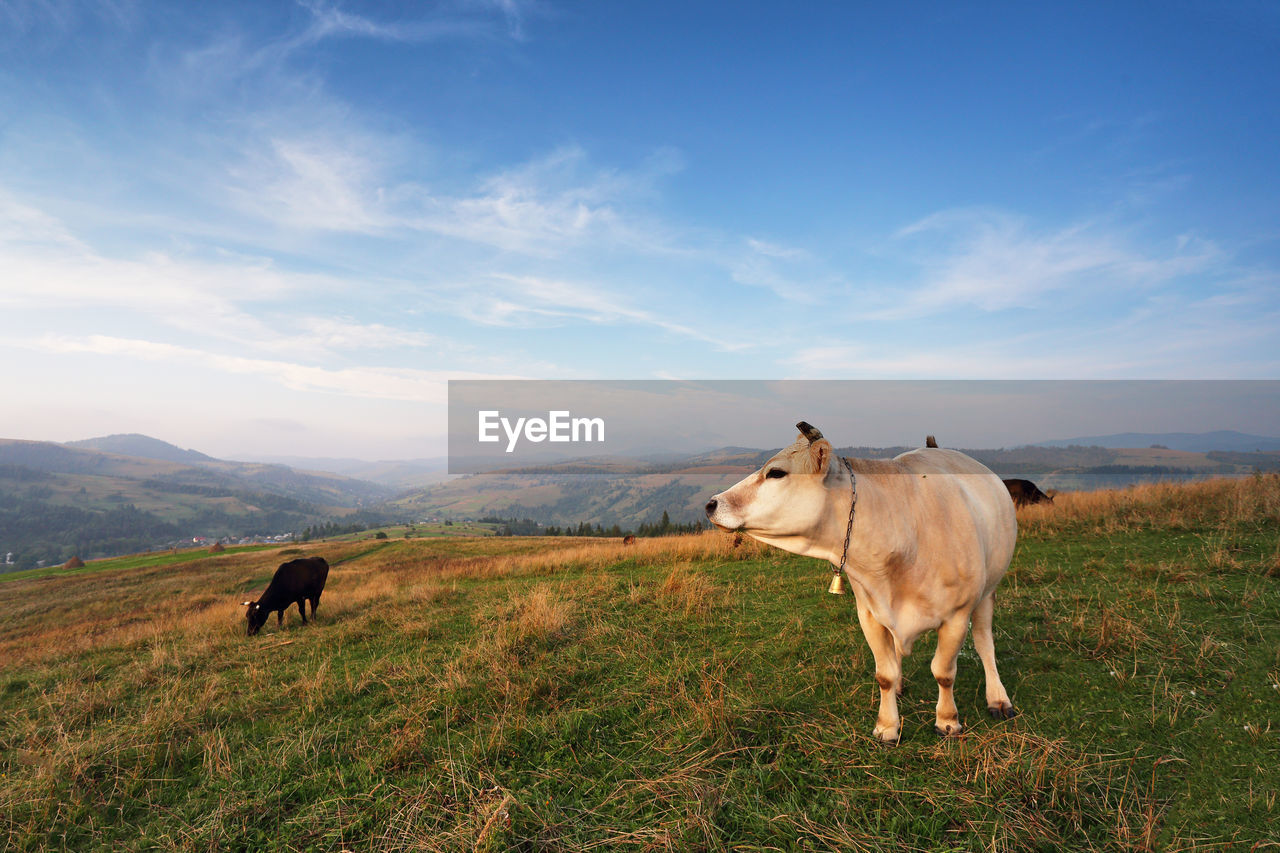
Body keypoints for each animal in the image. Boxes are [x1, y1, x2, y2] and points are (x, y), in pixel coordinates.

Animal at [706, 422, 1013, 742]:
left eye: (776, 472)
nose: (712, 504)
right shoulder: (869, 612)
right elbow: (885, 674)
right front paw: (887, 726)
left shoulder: (956, 615)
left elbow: (944, 671)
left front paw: (948, 721)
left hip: (987, 592)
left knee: (985, 644)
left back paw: (998, 699)